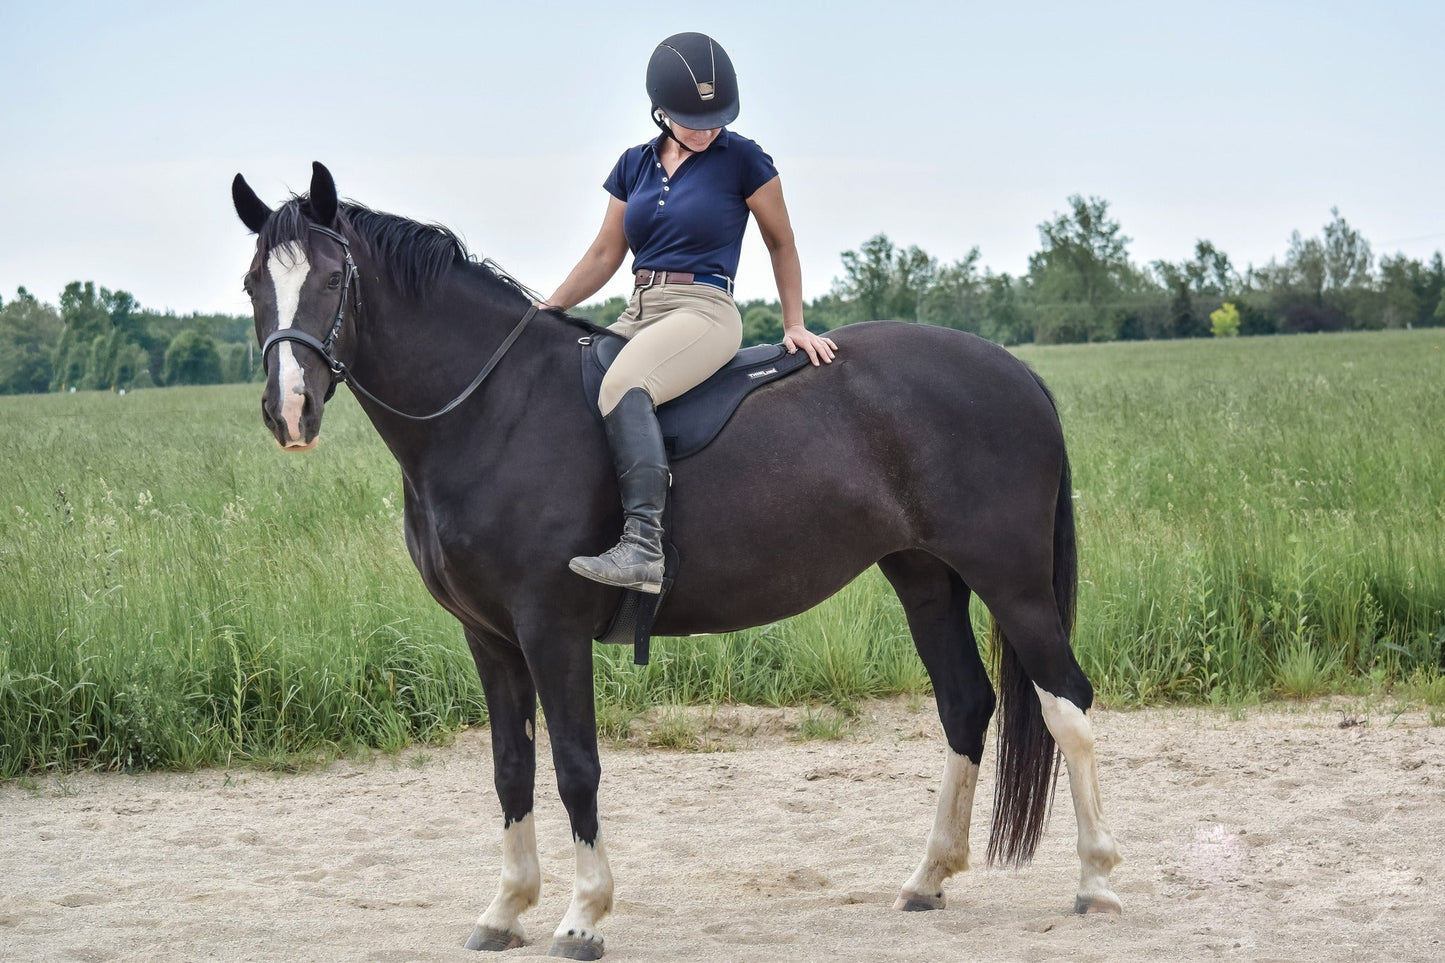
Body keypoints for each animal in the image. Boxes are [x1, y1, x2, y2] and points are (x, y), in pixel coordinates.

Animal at [234, 163, 1115, 954]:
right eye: (252, 285)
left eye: (332, 278)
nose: (288, 411)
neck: (492, 409)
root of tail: (1014, 369)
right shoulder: (488, 637)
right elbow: (511, 767)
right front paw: (505, 908)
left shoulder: (549, 628)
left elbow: (575, 765)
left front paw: (583, 916)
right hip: (924, 578)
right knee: (965, 705)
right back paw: (928, 877)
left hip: (1011, 580)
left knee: (1066, 704)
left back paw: (1096, 881)